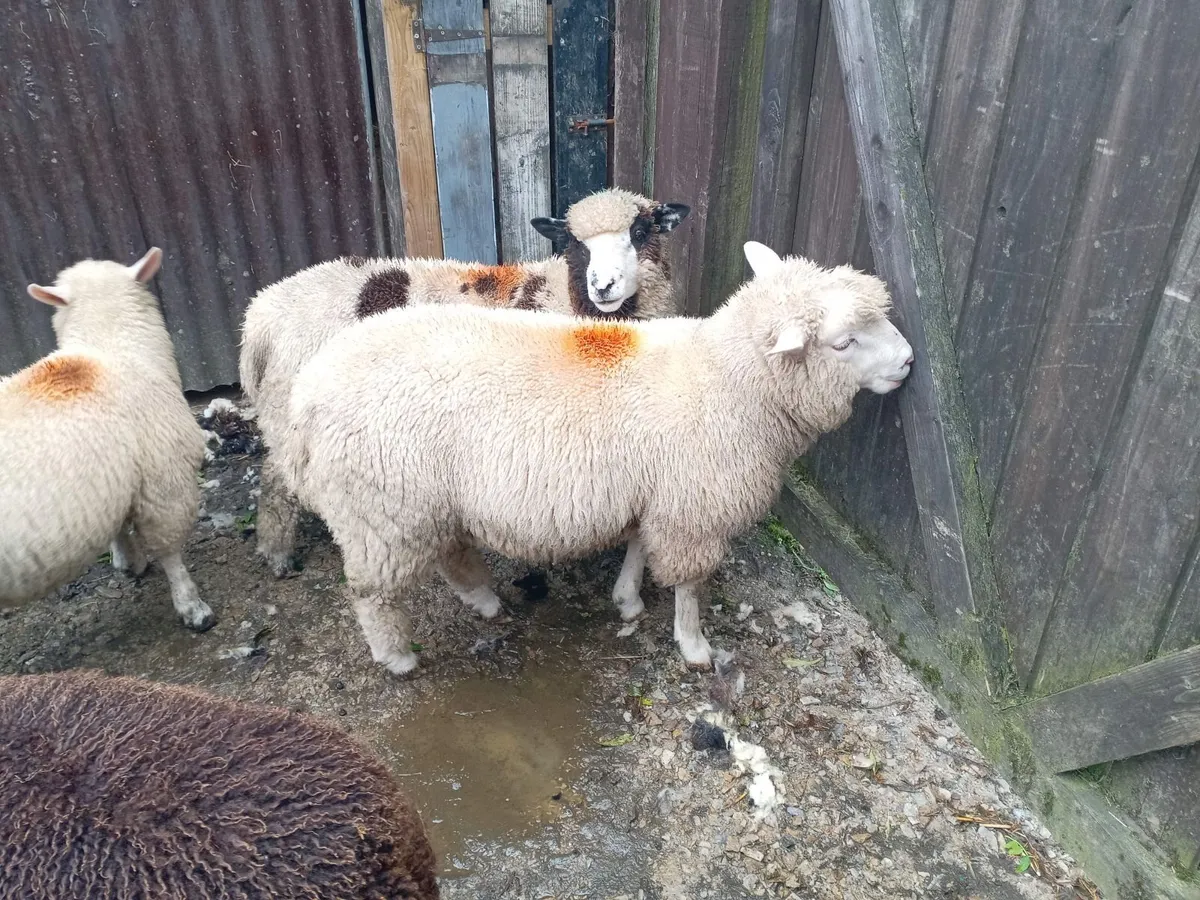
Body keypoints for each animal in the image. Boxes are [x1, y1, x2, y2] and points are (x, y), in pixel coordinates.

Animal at [0, 249, 213, 630]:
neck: (111, 347)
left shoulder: (114, 481)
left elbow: (116, 526)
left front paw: (128, 561)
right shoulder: (166, 485)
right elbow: (170, 552)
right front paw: (192, 607)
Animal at [240, 188, 689, 577]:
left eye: (640, 233)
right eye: (576, 245)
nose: (603, 286)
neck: (562, 295)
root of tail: (259, 315)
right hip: (287, 414)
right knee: (277, 482)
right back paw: (277, 553)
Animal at [278, 242, 914, 674]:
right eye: (843, 343)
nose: (909, 361)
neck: (728, 384)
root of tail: (306, 394)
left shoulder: (652, 491)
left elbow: (636, 546)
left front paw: (627, 599)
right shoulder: (693, 511)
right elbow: (690, 586)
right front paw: (694, 646)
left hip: (418, 502)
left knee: (449, 552)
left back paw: (484, 600)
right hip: (381, 508)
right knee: (372, 592)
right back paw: (397, 656)